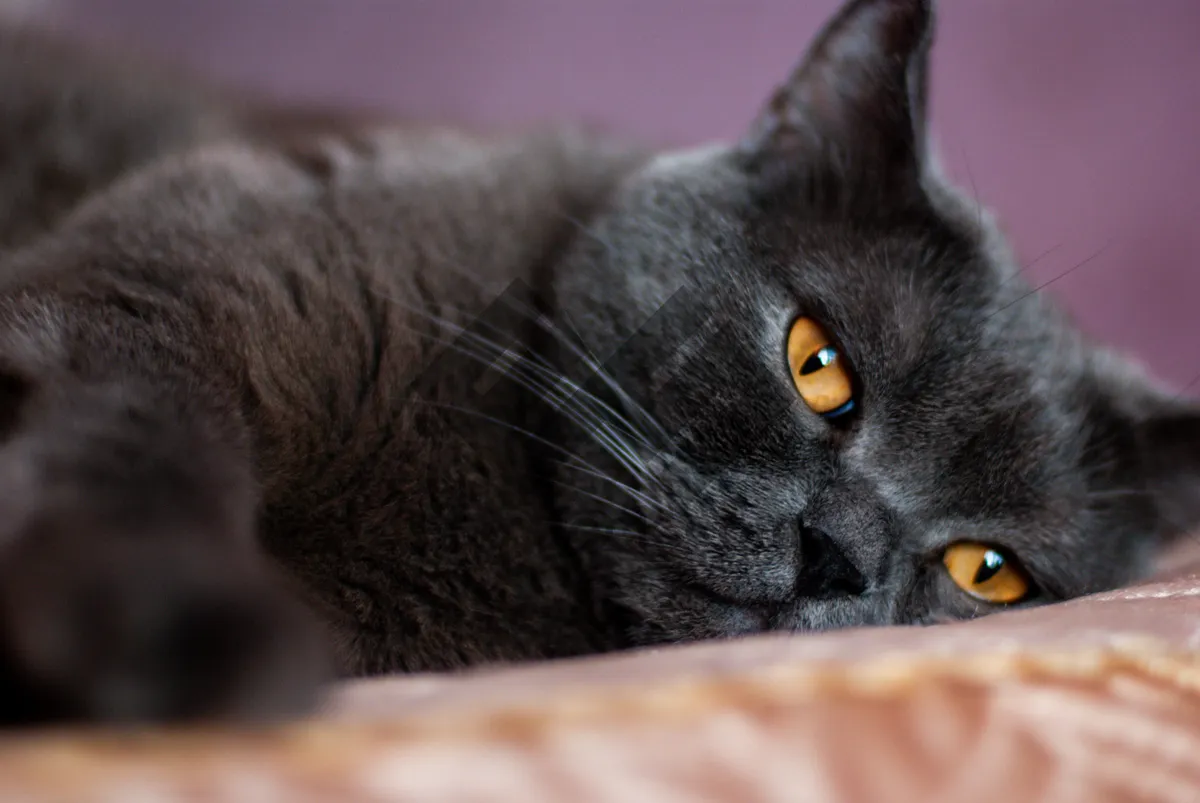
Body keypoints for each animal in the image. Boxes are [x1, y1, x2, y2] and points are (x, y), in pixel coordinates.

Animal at [0, 0, 1190, 724]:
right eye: (819, 362)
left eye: (988, 570)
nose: (837, 556)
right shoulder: (174, 286)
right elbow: (145, 436)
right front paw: (182, 628)